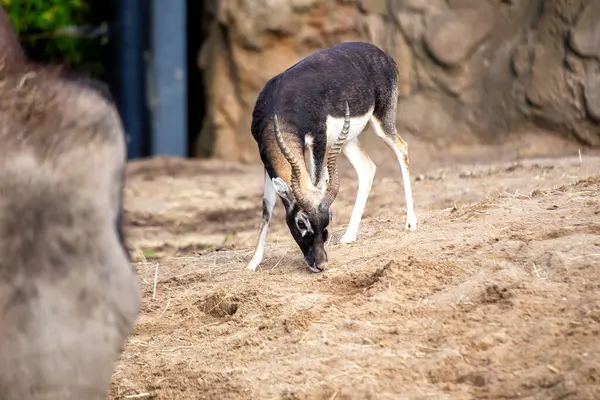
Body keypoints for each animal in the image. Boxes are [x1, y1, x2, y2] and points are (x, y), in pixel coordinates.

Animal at [246, 41, 414, 272]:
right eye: (301, 222)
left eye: (328, 219)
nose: (321, 263)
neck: (280, 105)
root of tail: (383, 55)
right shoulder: (264, 155)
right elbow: (266, 206)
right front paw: (253, 262)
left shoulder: (318, 140)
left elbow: (317, 181)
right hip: (347, 140)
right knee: (367, 167)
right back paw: (349, 236)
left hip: (382, 123)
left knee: (402, 149)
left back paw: (411, 223)